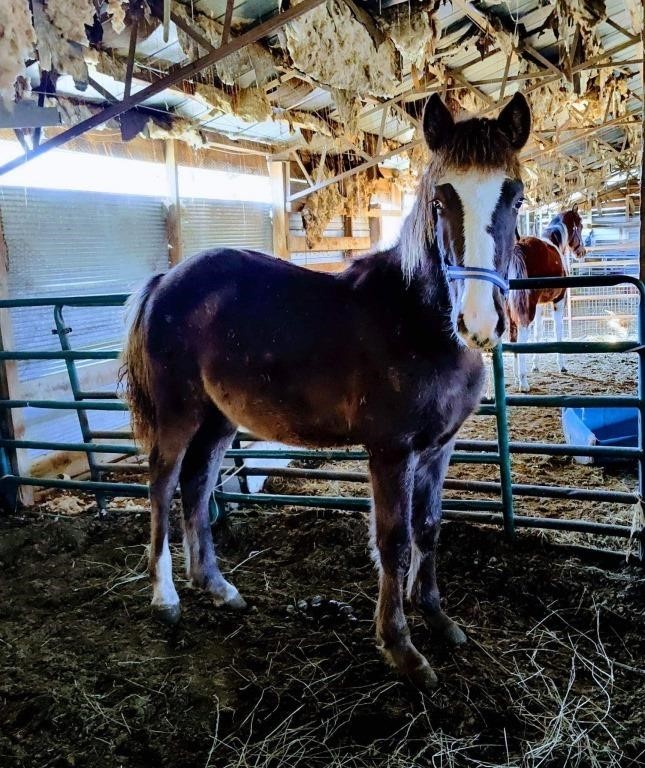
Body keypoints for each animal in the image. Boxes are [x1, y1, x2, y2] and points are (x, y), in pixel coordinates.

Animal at [119, 93, 528, 688]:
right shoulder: (391, 451)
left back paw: (218, 589)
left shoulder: (439, 448)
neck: (417, 323)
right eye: (440, 199)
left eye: (515, 196)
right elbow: (394, 541)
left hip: (219, 420)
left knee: (196, 486)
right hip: (178, 415)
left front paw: (438, 619)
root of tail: (165, 281)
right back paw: (166, 597)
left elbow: (428, 529)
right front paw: (401, 648)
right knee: (162, 485)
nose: (479, 322)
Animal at [508, 206, 584, 390]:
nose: (582, 252)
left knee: (512, 337)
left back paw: (516, 377)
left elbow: (539, 333)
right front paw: (562, 366)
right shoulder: (559, 300)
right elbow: (558, 331)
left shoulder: (540, 304)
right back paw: (523, 382)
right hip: (526, 309)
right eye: (580, 225)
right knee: (521, 336)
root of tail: (518, 247)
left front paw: (535, 366)